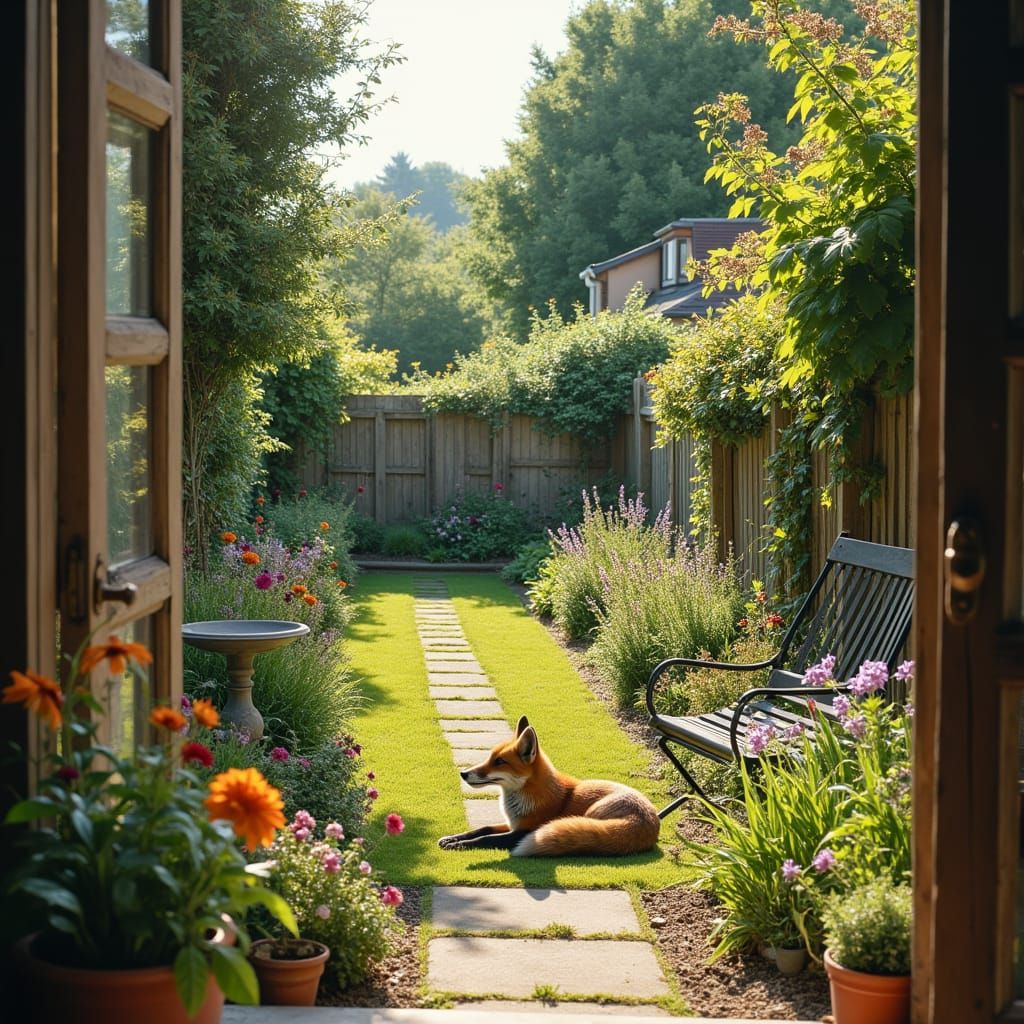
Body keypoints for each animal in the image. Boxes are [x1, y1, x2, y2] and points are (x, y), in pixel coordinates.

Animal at [437, 716, 661, 857]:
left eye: (499, 762)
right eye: (489, 757)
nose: (464, 774)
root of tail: (650, 822)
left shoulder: (523, 832)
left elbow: (487, 838)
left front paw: (459, 845)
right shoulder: (514, 824)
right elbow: (482, 829)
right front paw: (453, 838)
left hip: (592, 813)